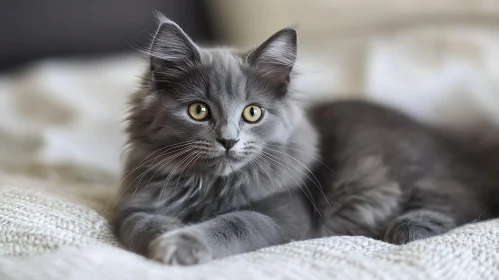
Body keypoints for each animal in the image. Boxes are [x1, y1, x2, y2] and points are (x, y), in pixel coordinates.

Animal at [112, 15, 499, 264]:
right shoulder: (131, 205)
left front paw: (182, 243)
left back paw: (408, 229)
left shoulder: (286, 218)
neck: (210, 185)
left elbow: (236, 222)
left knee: (460, 205)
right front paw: (168, 232)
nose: (228, 140)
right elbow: (137, 223)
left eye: (252, 113)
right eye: (198, 111)